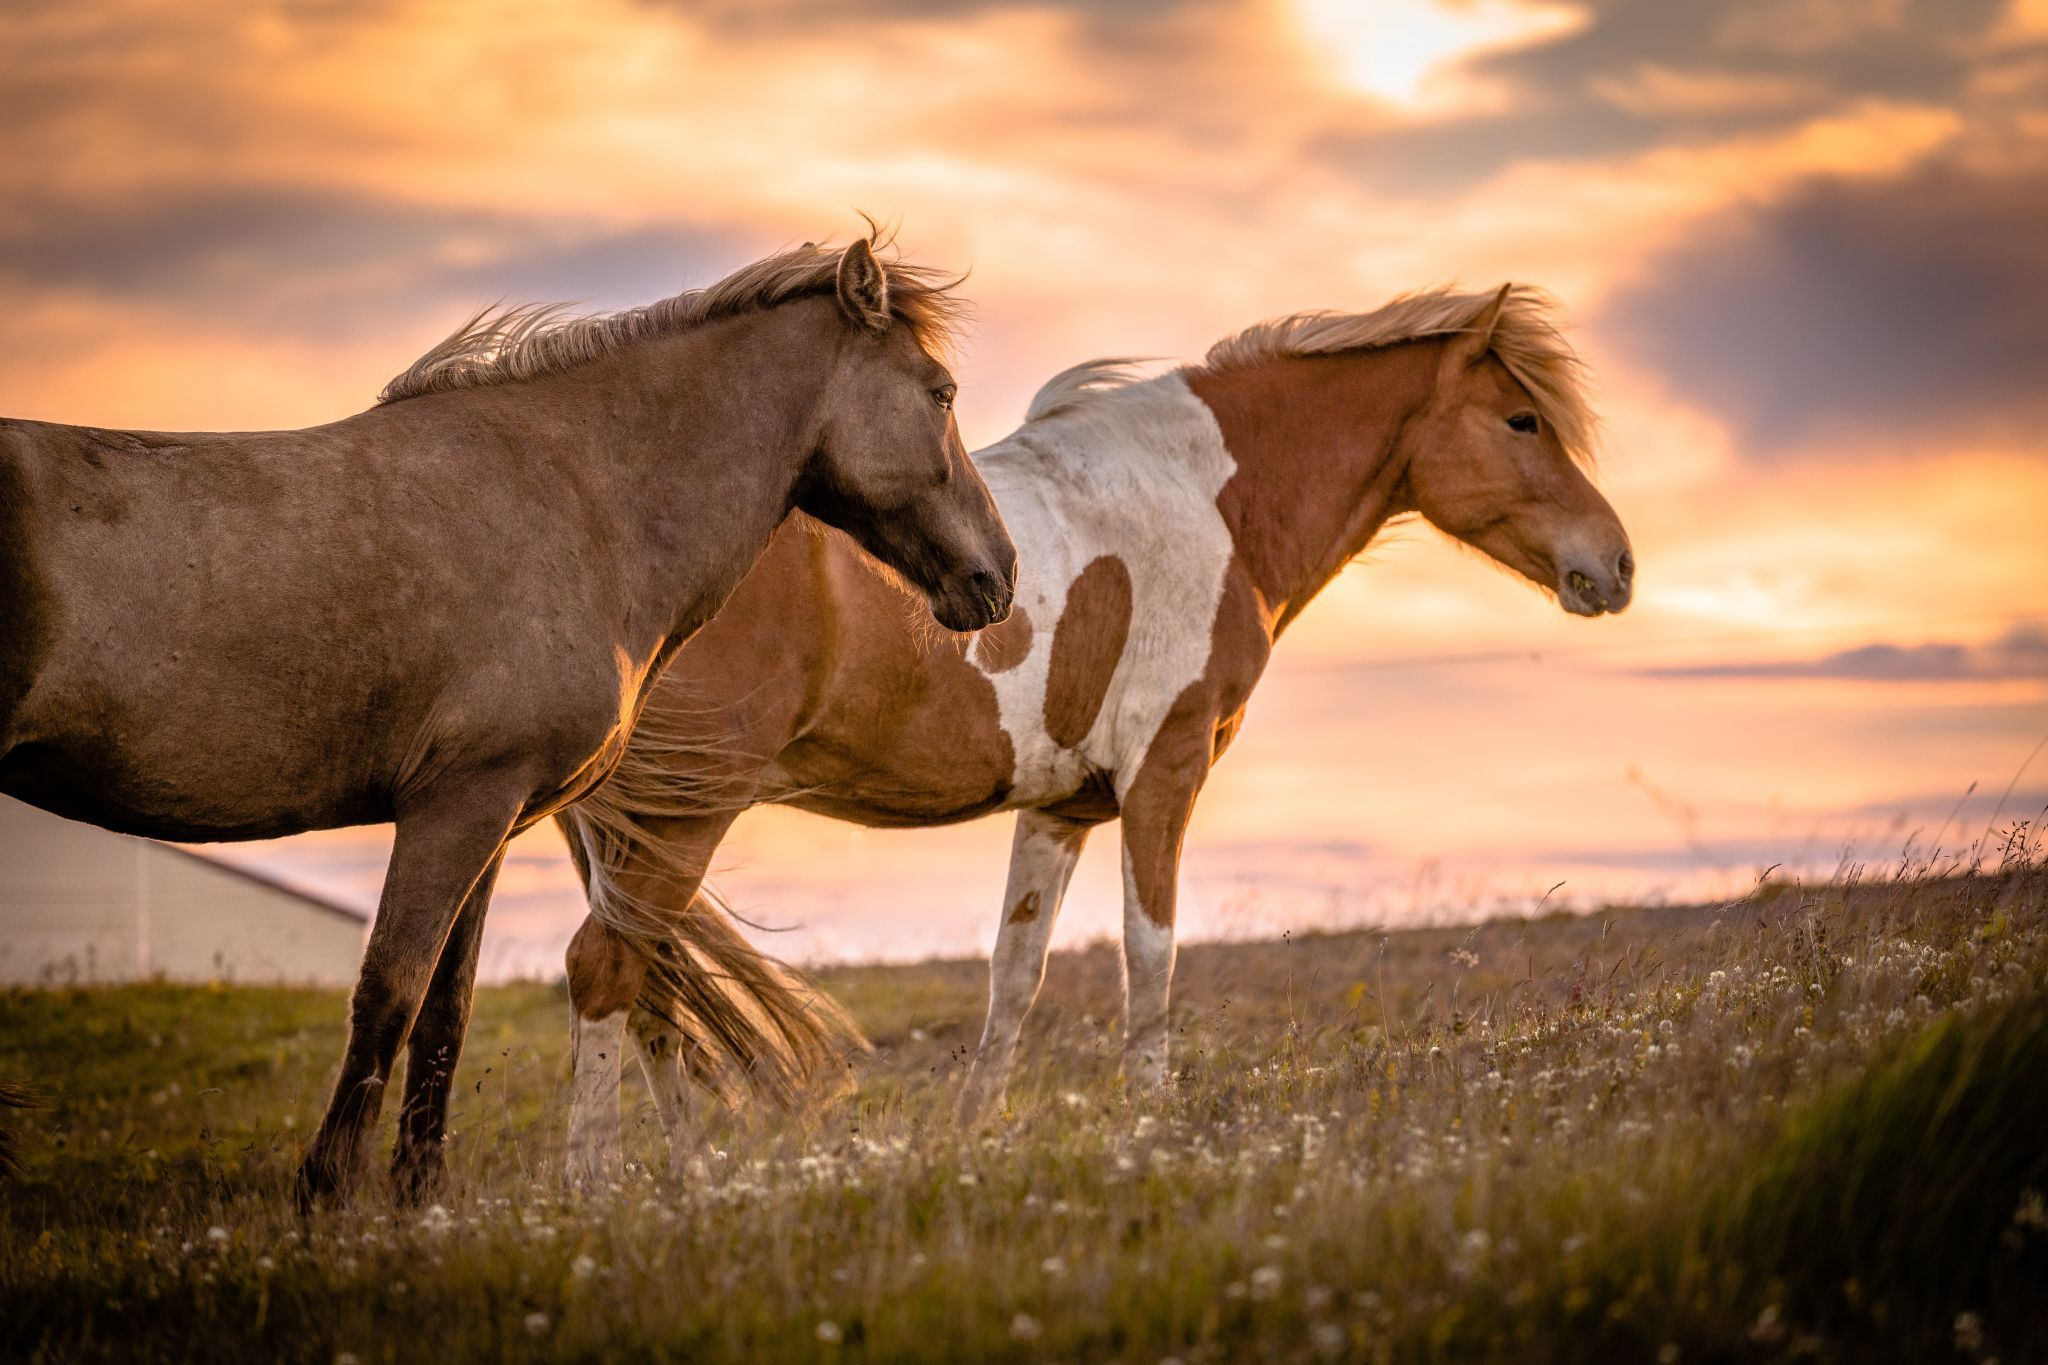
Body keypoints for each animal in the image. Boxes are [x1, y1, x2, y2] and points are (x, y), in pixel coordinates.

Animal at [0, 231, 1017, 1206]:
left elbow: (446, 1008)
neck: (575, 498)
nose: (996, 576)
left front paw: (419, 1198)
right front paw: (327, 1196)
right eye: (941, 392)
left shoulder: (487, 819)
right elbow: (390, 992)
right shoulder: (456, 806)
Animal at [541, 281, 1634, 1180]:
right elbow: (1149, 953)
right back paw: (596, 1188)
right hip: (683, 814)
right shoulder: (1163, 774)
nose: (1615, 564)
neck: (1210, 504)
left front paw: (971, 1134)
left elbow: (1013, 975)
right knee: (609, 970)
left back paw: (689, 1179)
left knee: (652, 988)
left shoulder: (1061, 808)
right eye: (1522, 418)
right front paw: (1149, 1122)